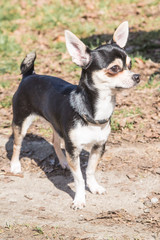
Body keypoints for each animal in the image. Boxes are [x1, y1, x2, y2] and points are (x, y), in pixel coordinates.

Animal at [10, 22, 140, 210]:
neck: (95, 111)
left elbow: (90, 170)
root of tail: (29, 75)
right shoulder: (73, 149)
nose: (137, 76)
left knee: (55, 141)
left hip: (57, 125)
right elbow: (78, 178)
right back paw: (14, 165)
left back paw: (63, 162)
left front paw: (93, 187)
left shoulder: (98, 146)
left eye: (130, 65)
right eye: (115, 69)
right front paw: (79, 199)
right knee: (17, 144)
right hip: (21, 121)